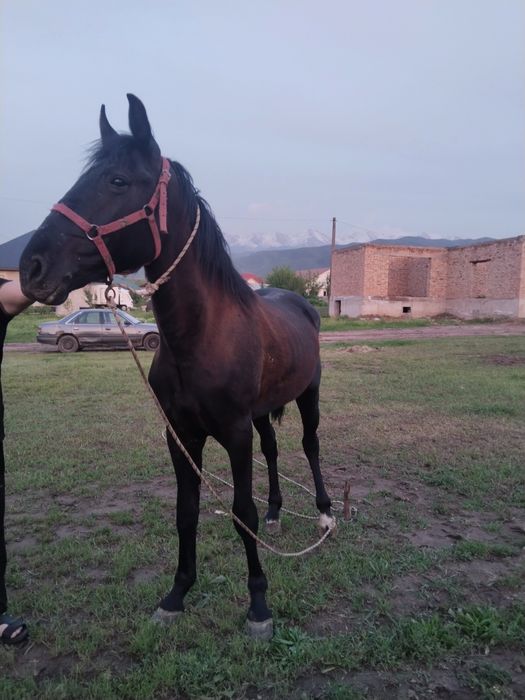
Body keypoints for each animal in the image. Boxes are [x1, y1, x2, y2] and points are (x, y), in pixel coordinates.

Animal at [19, 94, 334, 639]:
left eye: (117, 181)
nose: (30, 266)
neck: (200, 338)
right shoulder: (181, 434)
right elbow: (187, 513)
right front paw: (177, 594)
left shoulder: (234, 433)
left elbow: (241, 512)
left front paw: (258, 605)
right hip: (261, 413)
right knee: (274, 451)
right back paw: (278, 510)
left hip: (307, 394)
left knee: (310, 445)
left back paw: (323, 513)